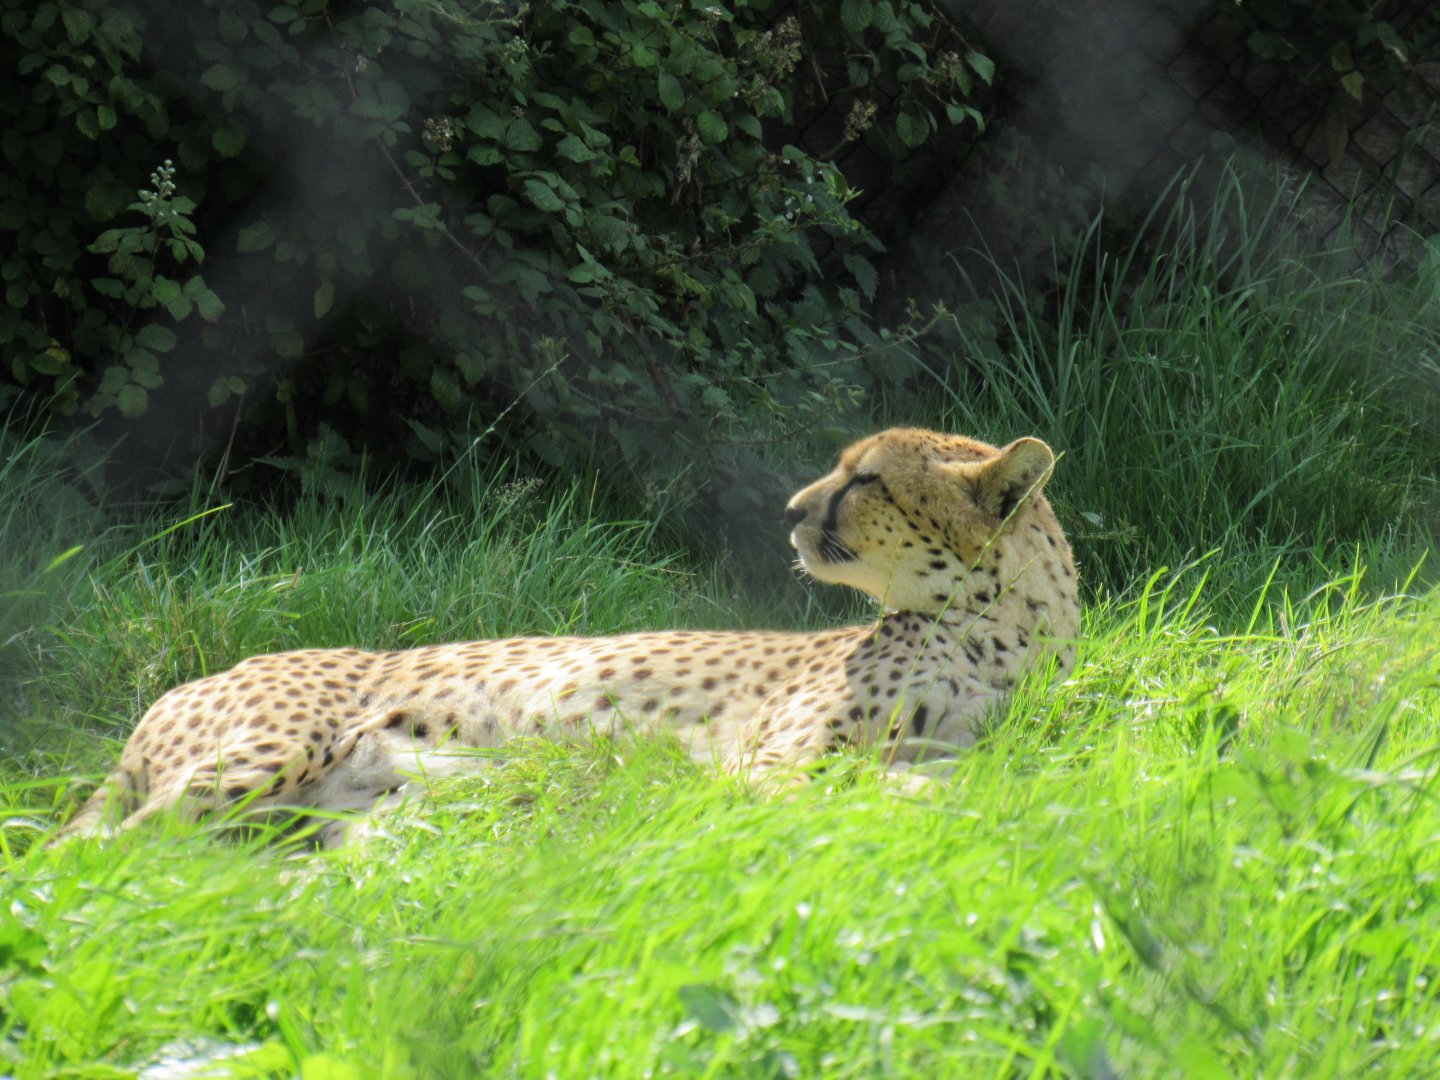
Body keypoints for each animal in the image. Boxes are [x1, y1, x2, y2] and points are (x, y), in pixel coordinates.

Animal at [59, 427, 1080, 845]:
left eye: (866, 480)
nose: (790, 511)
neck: (995, 625)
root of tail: (190, 679)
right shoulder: (767, 766)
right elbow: (874, 785)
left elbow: (971, 770)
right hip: (272, 752)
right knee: (103, 852)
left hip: (355, 818)